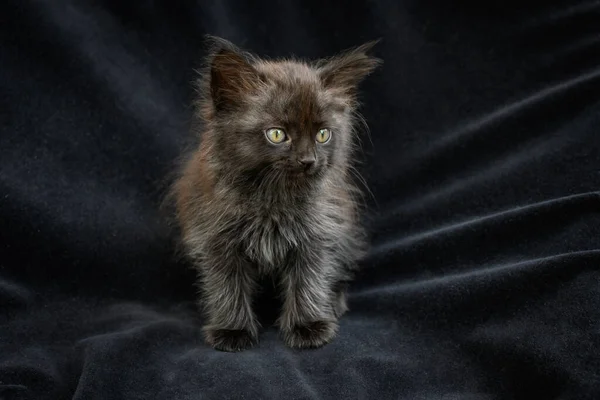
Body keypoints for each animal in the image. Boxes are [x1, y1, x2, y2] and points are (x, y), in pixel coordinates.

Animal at [173, 36, 380, 352]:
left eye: (323, 135)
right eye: (277, 134)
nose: (308, 160)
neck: (272, 201)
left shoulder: (316, 234)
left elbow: (309, 280)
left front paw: (307, 326)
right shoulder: (217, 240)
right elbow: (226, 286)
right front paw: (232, 330)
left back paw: (334, 303)